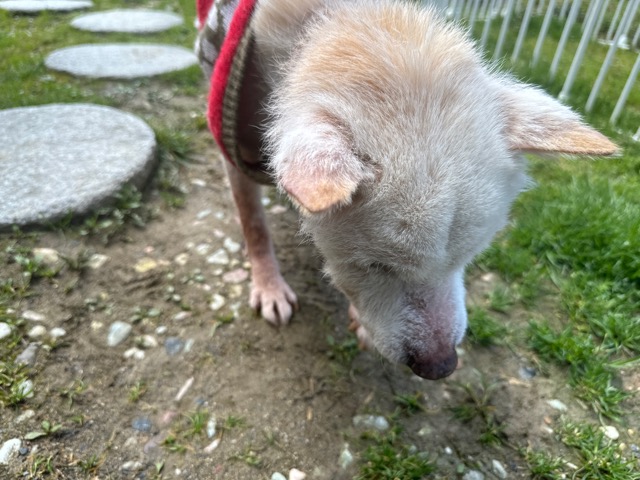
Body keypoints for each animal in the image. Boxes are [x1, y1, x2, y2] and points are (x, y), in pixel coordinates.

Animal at [195, 0, 618, 380]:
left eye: (469, 257)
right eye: (376, 266)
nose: (442, 367)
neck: (332, 18)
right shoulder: (233, 149)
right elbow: (254, 224)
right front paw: (269, 286)